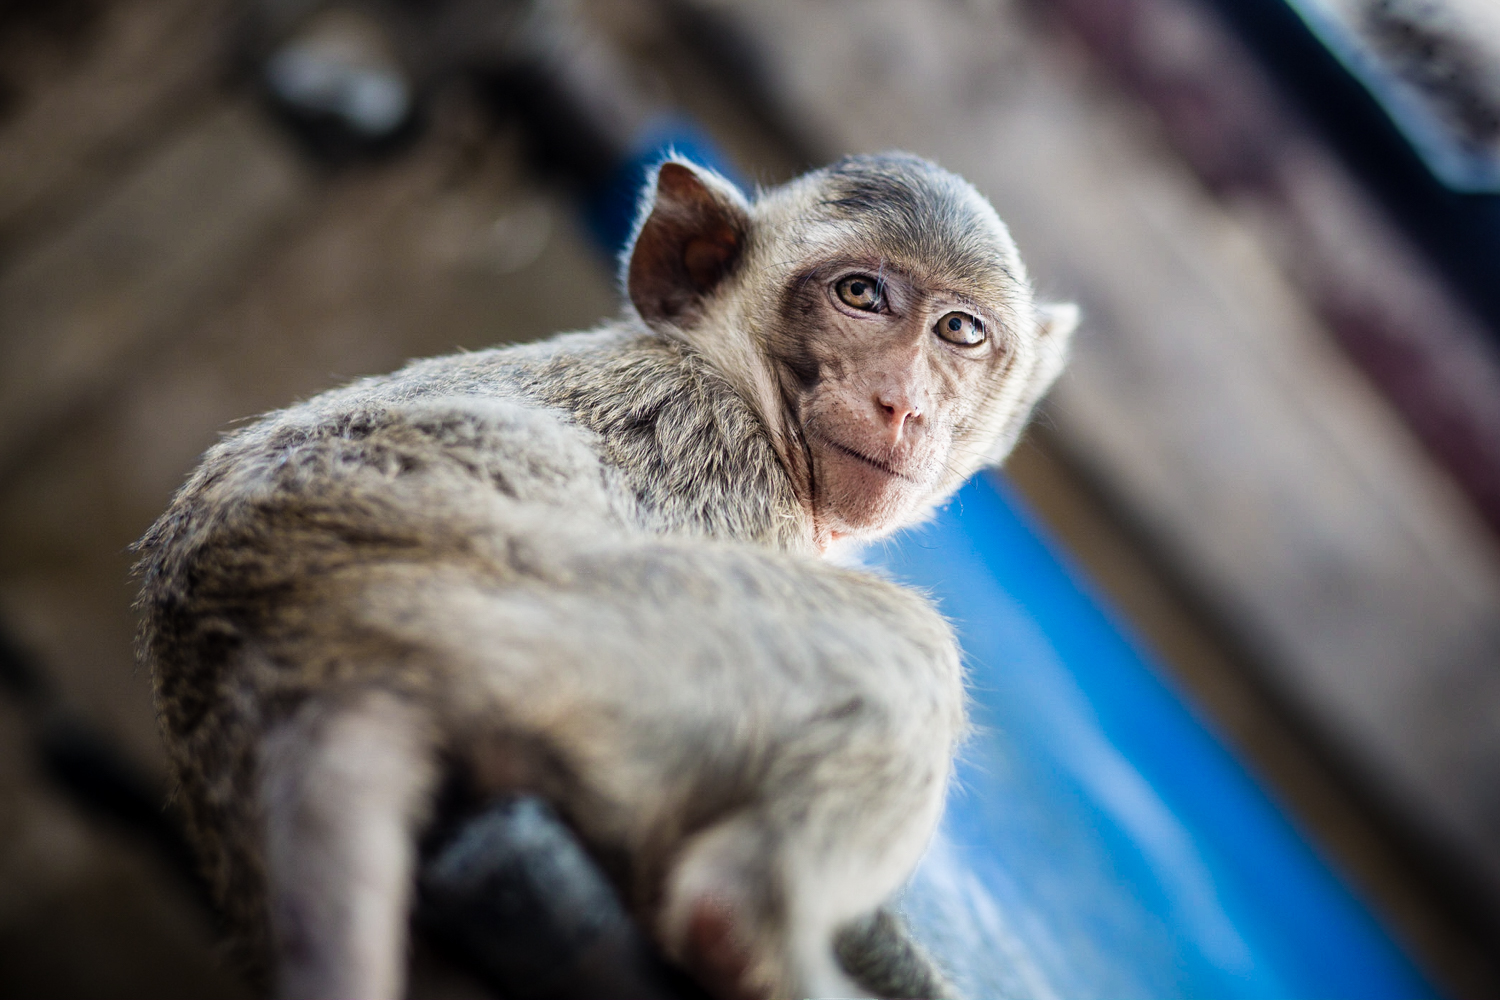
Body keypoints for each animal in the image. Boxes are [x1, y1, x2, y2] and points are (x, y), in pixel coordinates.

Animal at [135, 150, 1080, 1000]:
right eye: (861, 295)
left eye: (960, 331)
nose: (904, 403)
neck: (732, 377)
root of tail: (285, 637)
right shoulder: (728, 477)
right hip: (569, 630)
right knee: (906, 651)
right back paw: (744, 923)